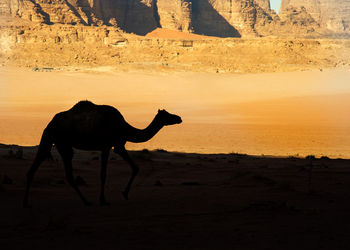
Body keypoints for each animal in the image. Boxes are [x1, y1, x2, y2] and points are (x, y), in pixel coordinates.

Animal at [23, 100, 183, 207]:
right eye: (167, 115)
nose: (179, 118)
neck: (124, 127)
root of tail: (50, 124)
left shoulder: (118, 145)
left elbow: (135, 167)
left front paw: (125, 194)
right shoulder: (106, 146)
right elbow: (103, 174)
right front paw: (104, 200)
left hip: (50, 140)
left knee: (35, 165)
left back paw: (26, 203)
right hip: (63, 143)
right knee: (68, 173)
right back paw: (86, 201)